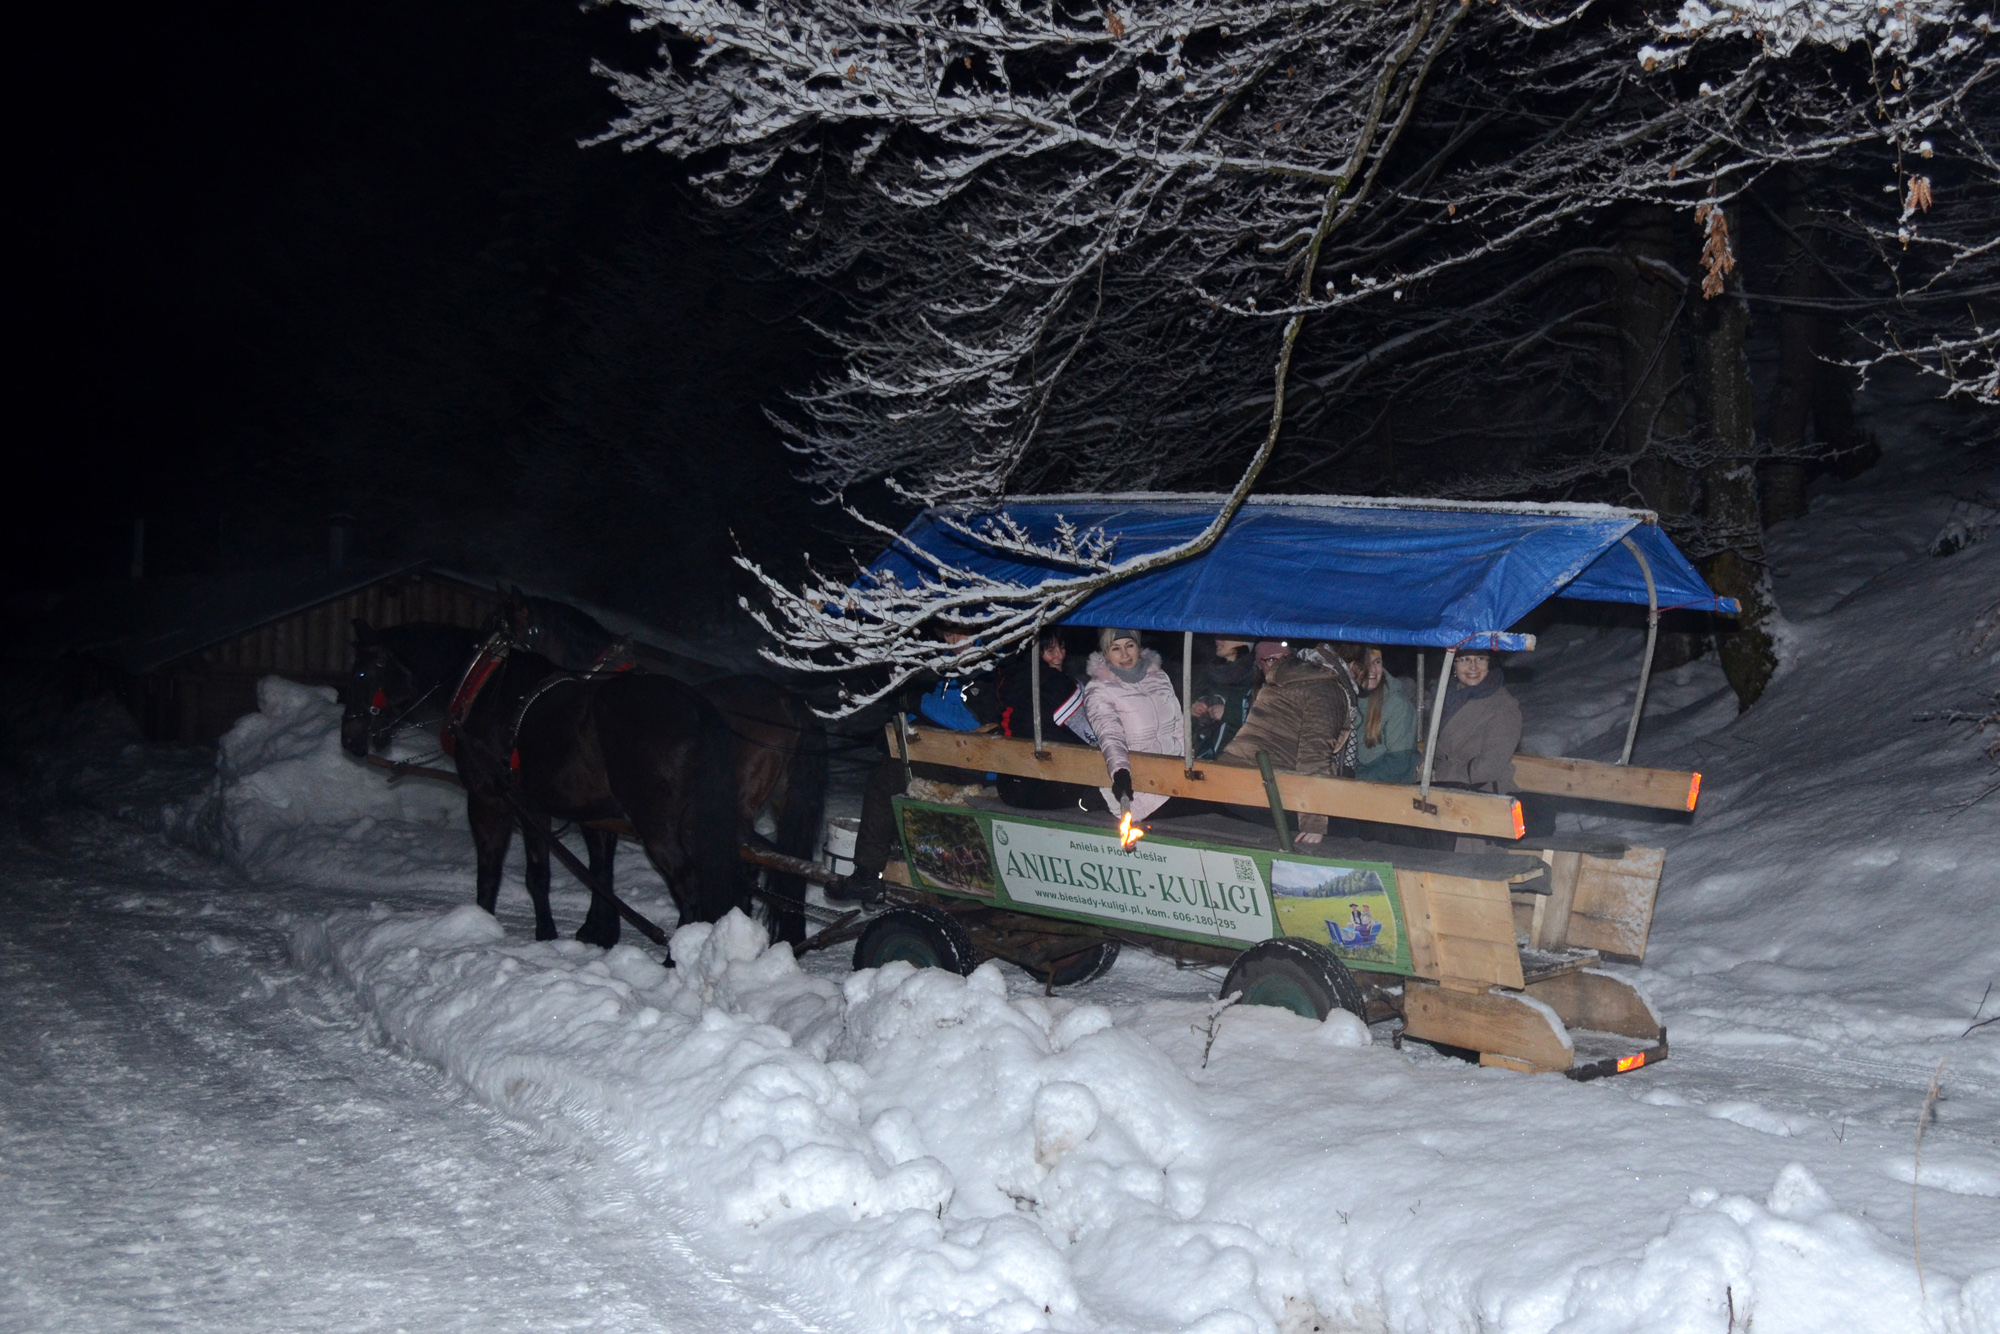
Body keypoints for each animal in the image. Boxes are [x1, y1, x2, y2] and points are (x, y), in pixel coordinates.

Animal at [445, 636, 747, 947]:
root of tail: (698, 709)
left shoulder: (491, 801)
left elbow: (501, 872)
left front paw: (486, 926)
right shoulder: (586, 815)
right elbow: (598, 873)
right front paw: (597, 933)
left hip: (657, 825)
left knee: (687, 881)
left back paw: (675, 953)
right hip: (696, 822)